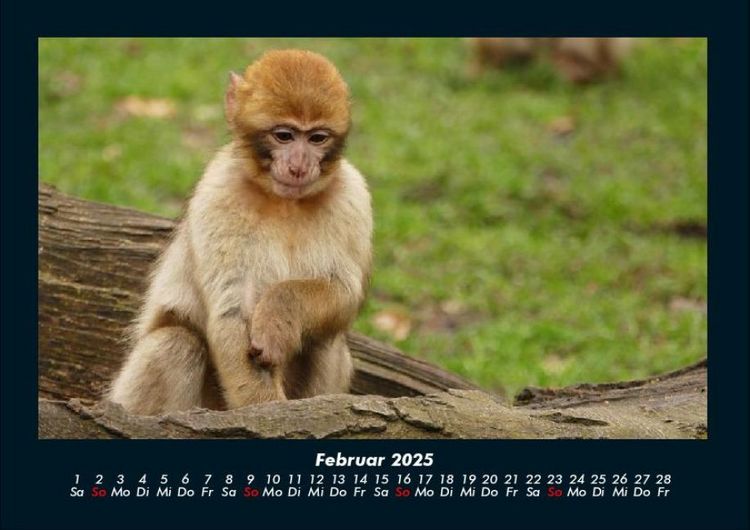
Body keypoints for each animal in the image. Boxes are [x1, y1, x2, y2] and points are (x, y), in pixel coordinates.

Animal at [108, 50, 372, 415]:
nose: (298, 167)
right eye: (284, 135)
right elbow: (233, 309)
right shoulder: (220, 192)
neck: (285, 202)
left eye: (317, 138)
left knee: (326, 342)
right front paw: (270, 412)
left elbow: (343, 291)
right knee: (175, 343)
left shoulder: (352, 196)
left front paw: (279, 315)